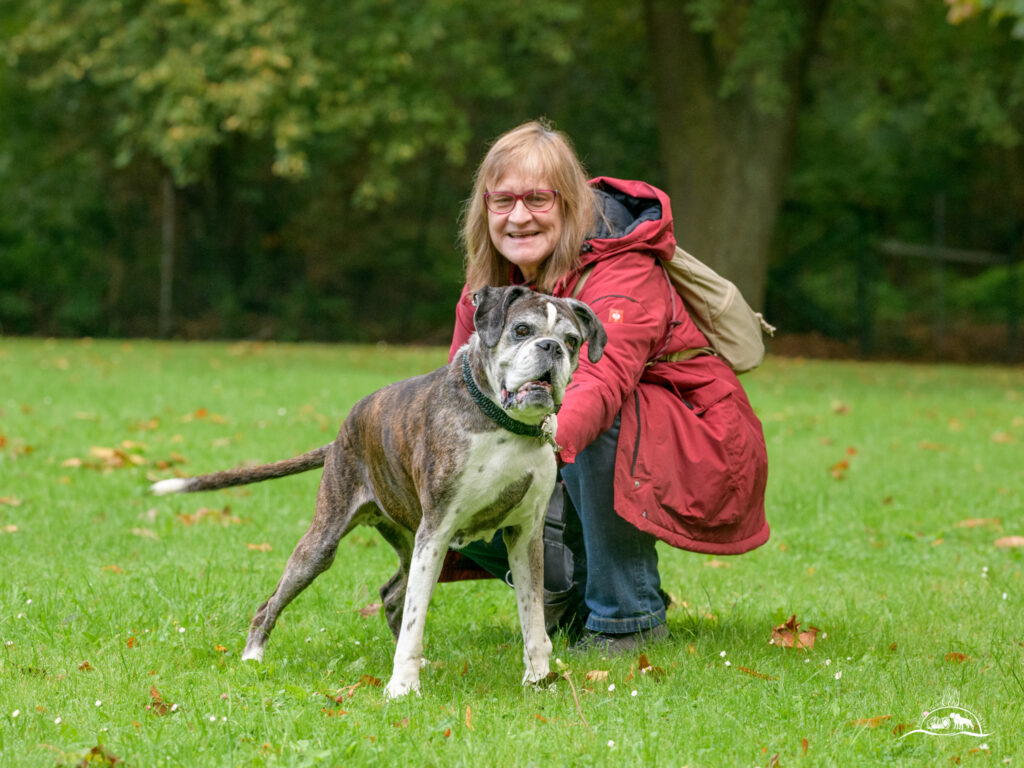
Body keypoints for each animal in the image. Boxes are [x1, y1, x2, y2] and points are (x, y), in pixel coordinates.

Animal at [148, 286, 602, 700]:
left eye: (571, 341)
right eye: (521, 329)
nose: (550, 348)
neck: (504, 425)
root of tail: (340, 438)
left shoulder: (523, 538)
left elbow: (533, 621)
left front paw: (538, 679)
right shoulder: (436, 533)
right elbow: (417, 619)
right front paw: (402, 687)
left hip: (410, 541)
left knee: (391, 595)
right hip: (324, 546)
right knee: (274, 603)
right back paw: (252, 657)